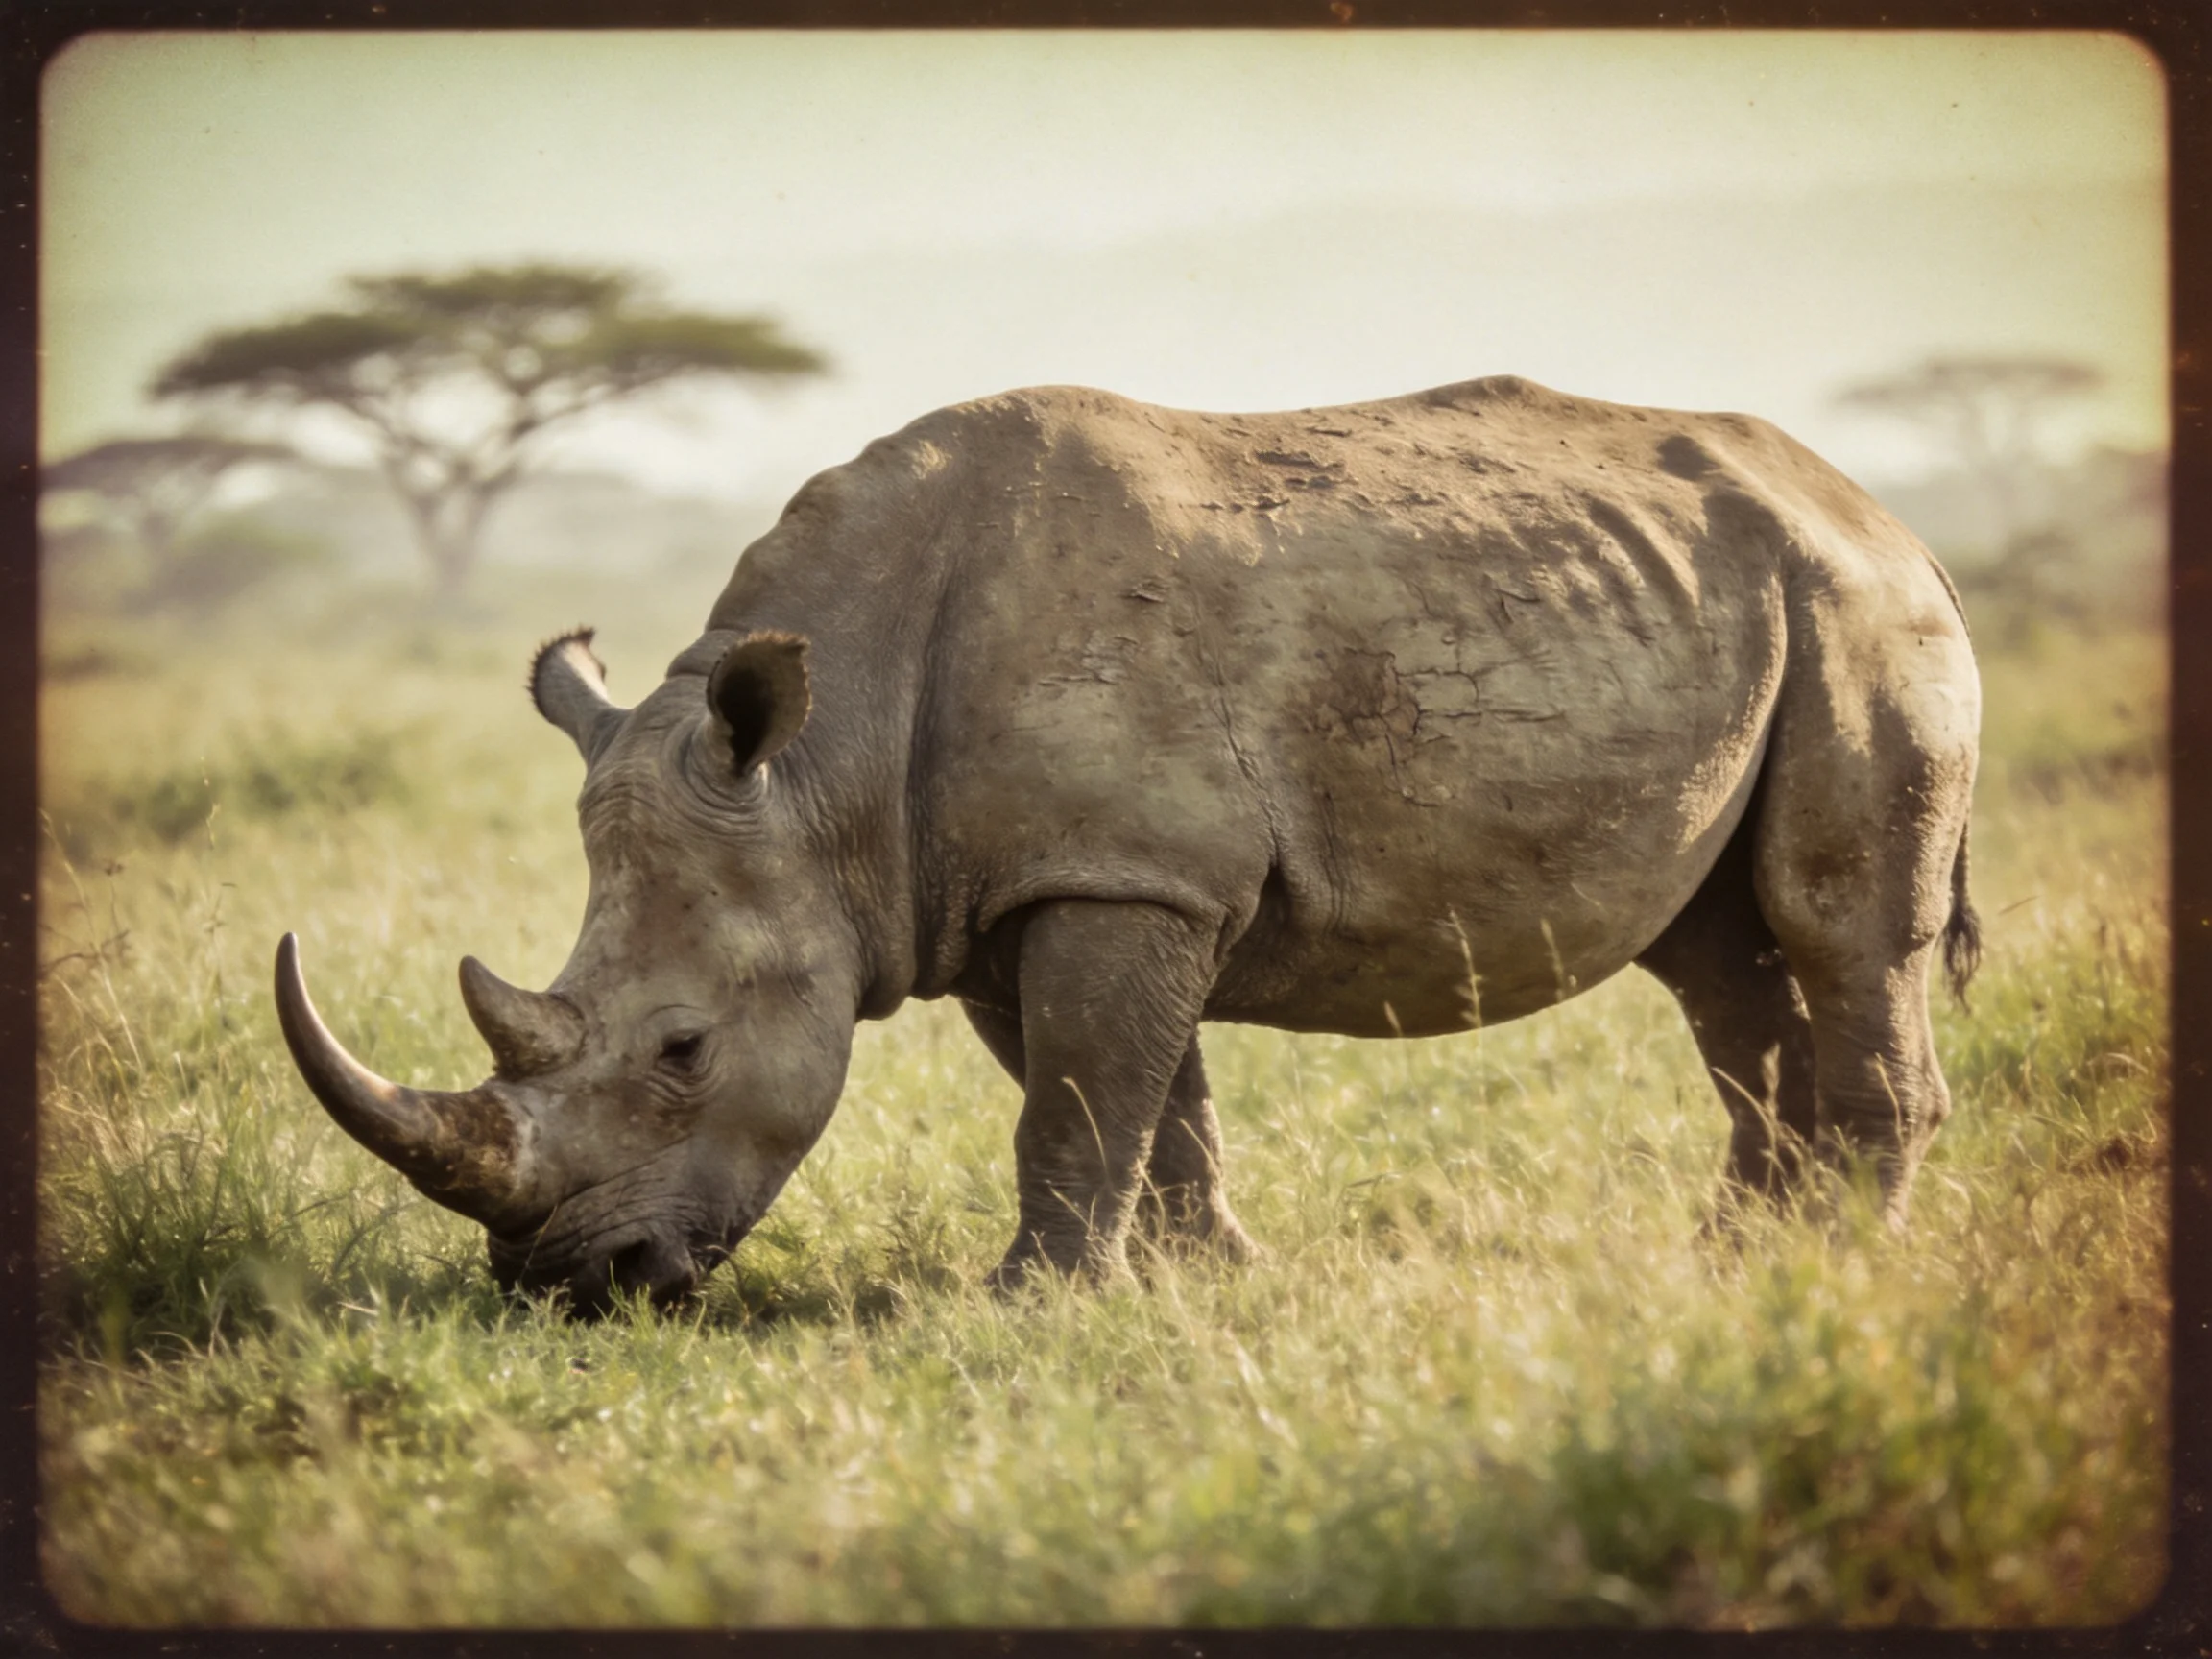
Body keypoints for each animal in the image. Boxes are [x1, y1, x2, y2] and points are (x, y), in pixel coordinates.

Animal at [275, 376, 1980, 1314]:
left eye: (684, 1050)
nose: (573, 1287)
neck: (819, 767)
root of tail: (1886, 511)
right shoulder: (999, 886)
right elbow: (1138, 1104)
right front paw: (1200, 1282)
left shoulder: (1120, 875)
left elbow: (1083, 1104)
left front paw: (1021, 1313)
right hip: (1759, 606)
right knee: (1719, 957)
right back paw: (1744, 1264)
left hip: (1857, 615)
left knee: (1836, 924)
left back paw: (1844, 1265)